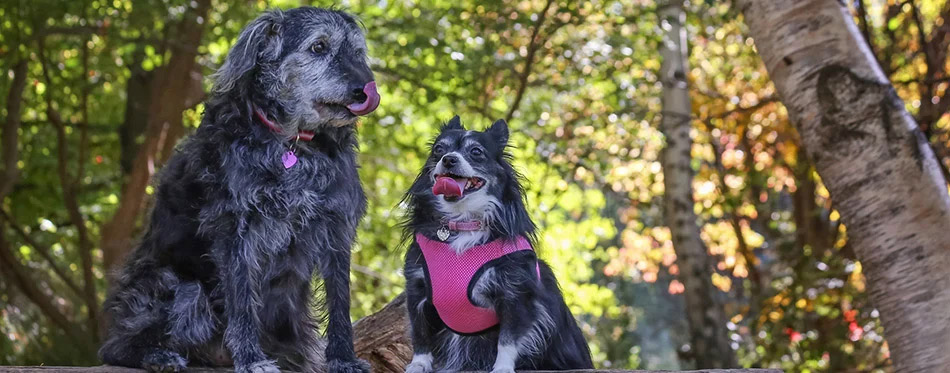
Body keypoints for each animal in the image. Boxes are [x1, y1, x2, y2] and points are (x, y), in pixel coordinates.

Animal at [97, 6, 380, 372]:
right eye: (318, 47)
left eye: (358, 52)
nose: (365, 89)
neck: (292, 144)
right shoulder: (236, 231)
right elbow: (243, 301)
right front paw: (251, 359)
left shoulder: (336, 229)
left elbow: (340, 302)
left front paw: (344, 359)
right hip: (180, 287)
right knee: (115, 346)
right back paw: (158, 355)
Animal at [402, 117, 596, 372]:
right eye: (438, 150)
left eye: (476, 152)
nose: (449, 159)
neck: (463, 223)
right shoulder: (418, 291)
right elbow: (420, 333)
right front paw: (419, 364)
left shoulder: (514, 294)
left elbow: (508, 339)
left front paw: (502, 367)